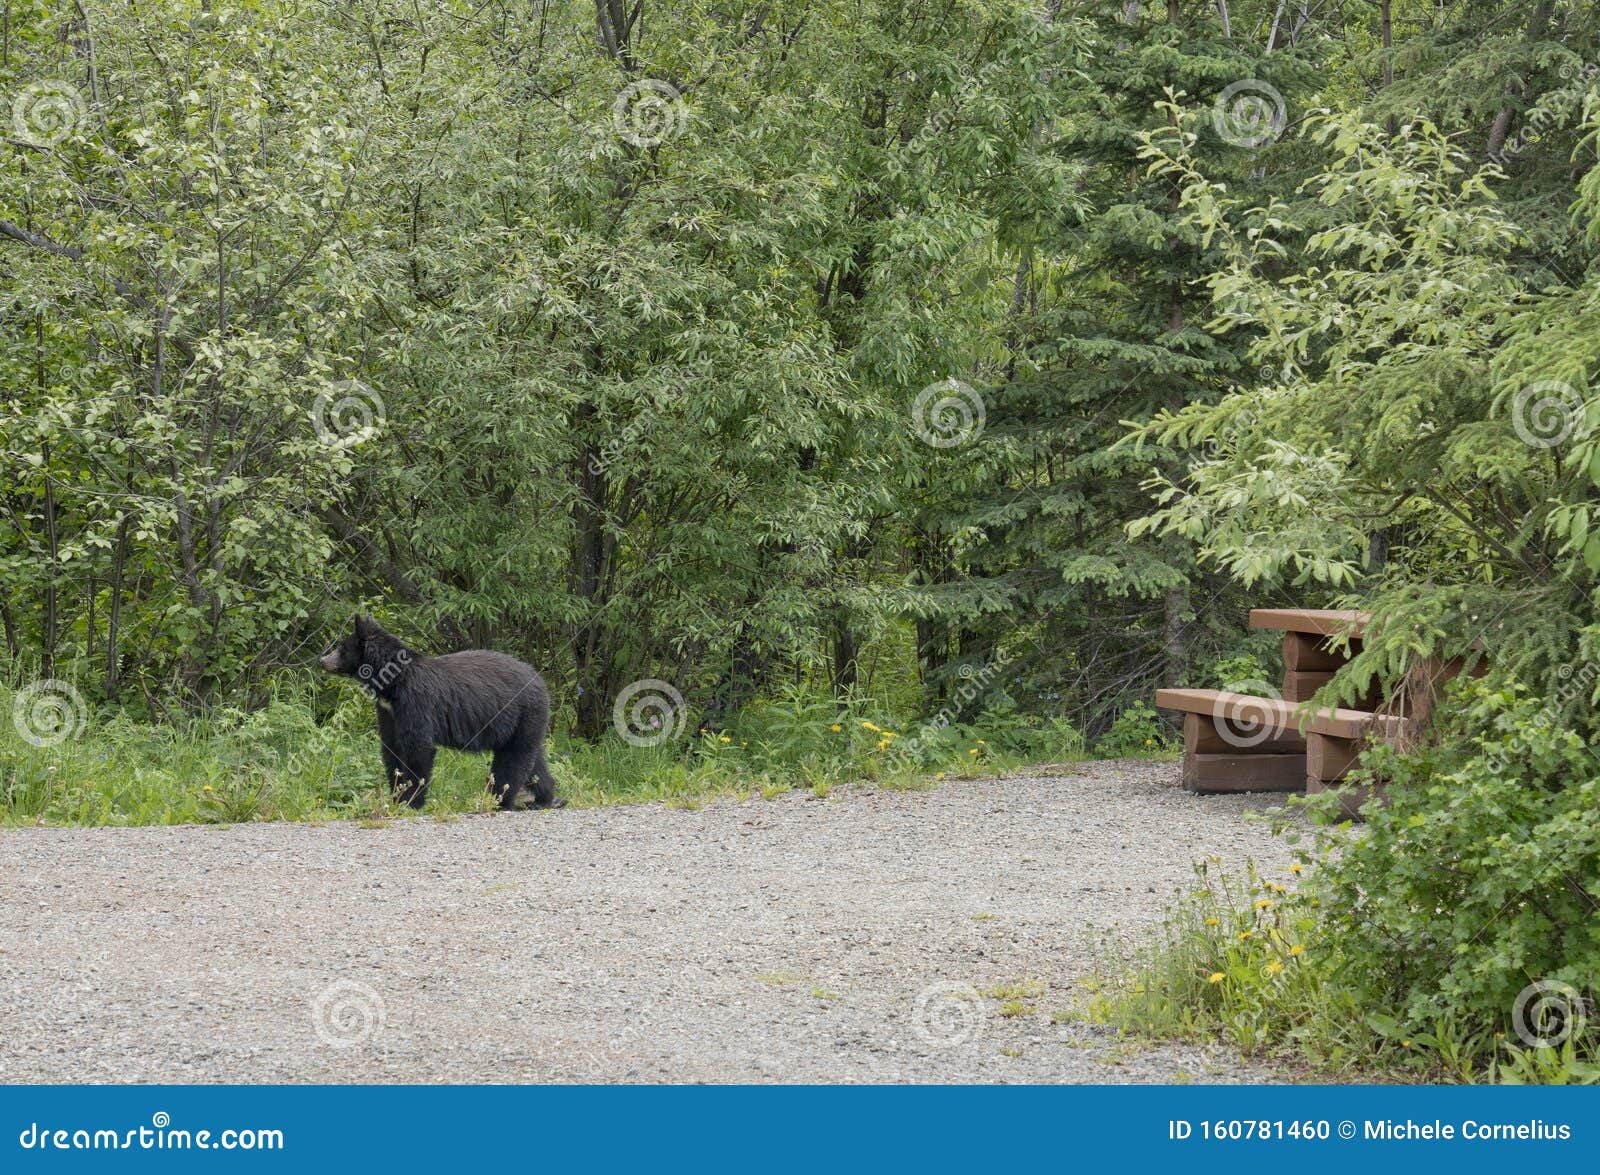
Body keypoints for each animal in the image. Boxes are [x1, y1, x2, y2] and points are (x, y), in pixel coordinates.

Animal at [319, 615, 564, 811]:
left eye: (341, 648)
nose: (322, 661)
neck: (393, 682)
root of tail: (539, 680)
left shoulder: (415, 702)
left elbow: (418, 748)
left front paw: (411, 802)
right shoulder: (388, 711)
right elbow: (392, 747)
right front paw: (396, 796)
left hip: (523, 712)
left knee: (514, 759)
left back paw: (500, 800)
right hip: (522, 723)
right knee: (534, 759)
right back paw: (544, 798)